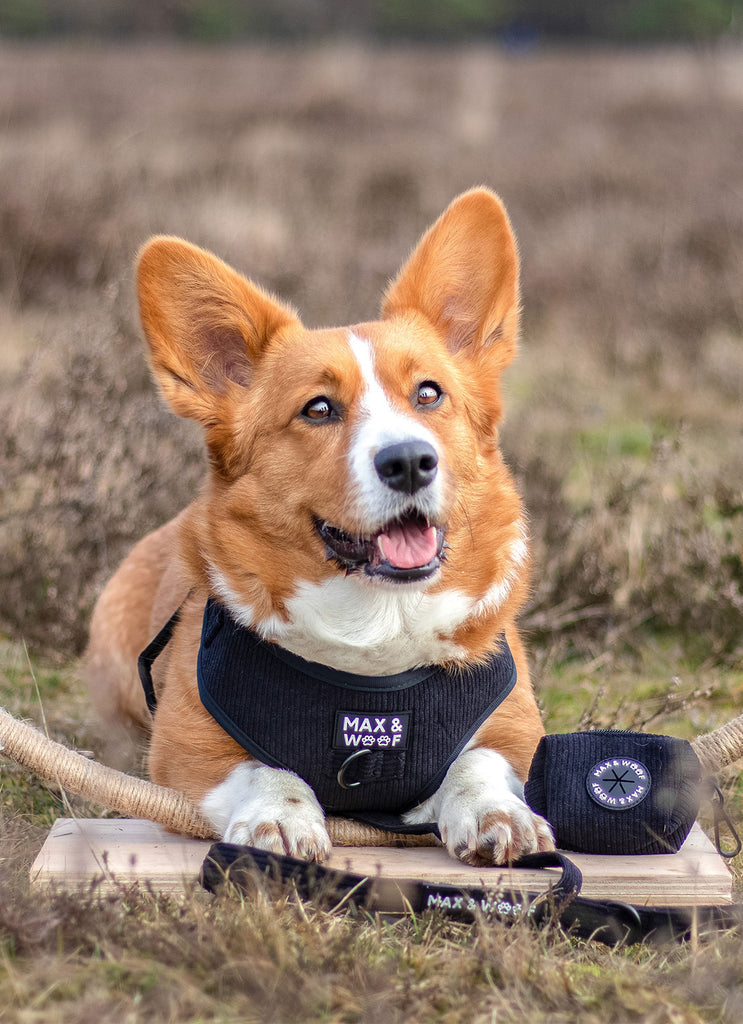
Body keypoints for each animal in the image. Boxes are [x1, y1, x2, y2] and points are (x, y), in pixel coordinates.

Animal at [84, 190, 556, 864]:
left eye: (429, 393)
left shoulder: (516, 733)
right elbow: (267, 769)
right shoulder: (184, 750)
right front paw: (278, 818)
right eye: (319, 409)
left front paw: (497, 813)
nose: (410, 462)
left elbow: (479, 762)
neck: (377, 632)